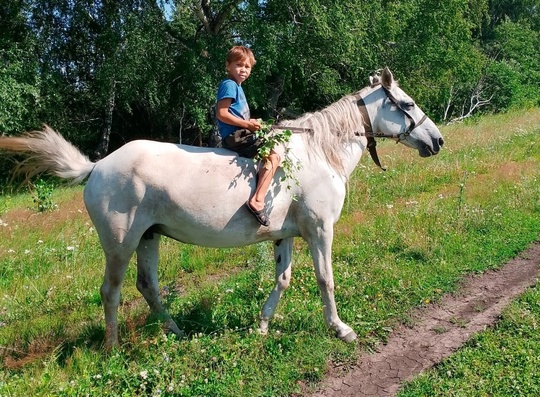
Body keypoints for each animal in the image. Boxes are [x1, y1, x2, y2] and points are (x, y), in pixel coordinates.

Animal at [0, 67, 442, 346]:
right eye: (406, 103)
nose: (436, 140)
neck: (318, 153)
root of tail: (97, 166)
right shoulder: (320, 230)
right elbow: (325, 279)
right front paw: (340, 328)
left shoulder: (286, 235)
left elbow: (283, 279)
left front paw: (262, 325)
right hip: (120, 245)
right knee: (111, 291)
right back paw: (112, 349)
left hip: (148, 239)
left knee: (147, 287)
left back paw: (176, 333)